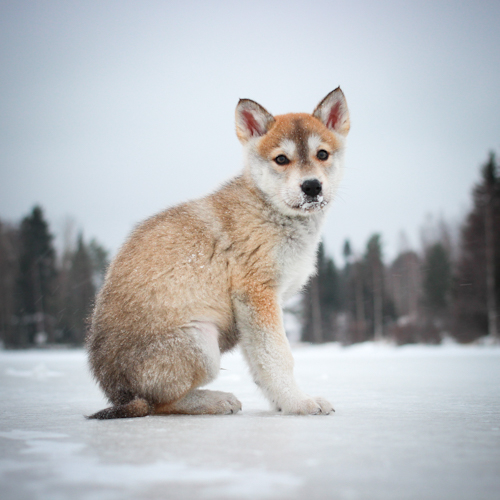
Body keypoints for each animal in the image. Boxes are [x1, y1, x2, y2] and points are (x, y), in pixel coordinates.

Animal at [86, 87, 350, 418]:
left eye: (322, 154)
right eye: (281, 159)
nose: (312, 187)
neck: (270, 210)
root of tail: (118, 394)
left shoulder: (253, 311)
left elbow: (261, 365)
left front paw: (281, 404)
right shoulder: (257, 294)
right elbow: (279, 358)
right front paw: (298, 403)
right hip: (201, 341)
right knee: (159, 403)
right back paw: (214, 400)